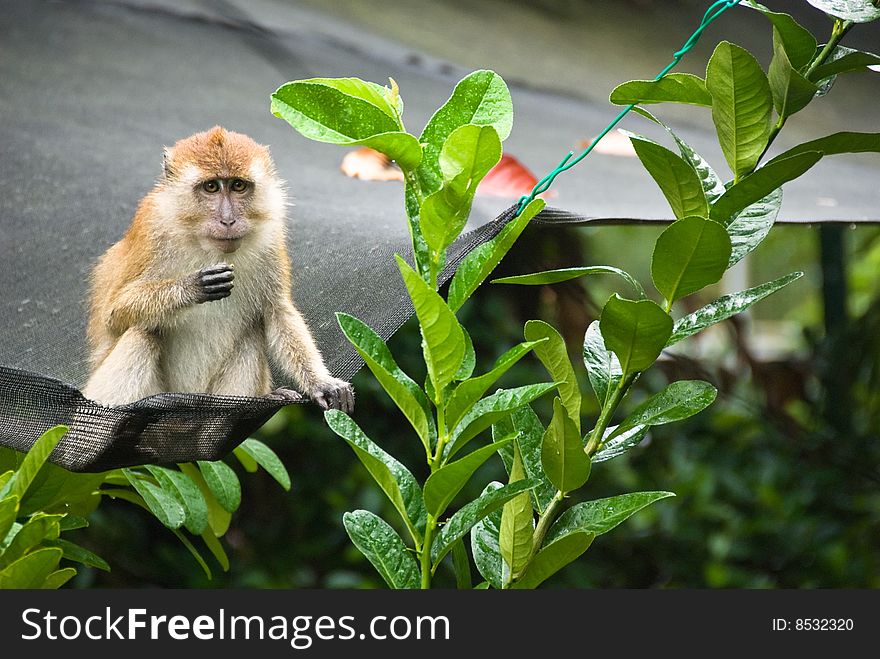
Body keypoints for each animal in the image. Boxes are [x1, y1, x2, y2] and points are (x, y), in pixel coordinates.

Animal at [82, 125, 354, 412]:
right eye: (211, 187)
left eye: (238, 185)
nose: (228, 220)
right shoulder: (151, 227)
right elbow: (115, 313)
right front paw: (191, 287)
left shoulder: (270, 237)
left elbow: (276, 311)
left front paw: (321, 382)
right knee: (143, 332)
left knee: (251, 332)